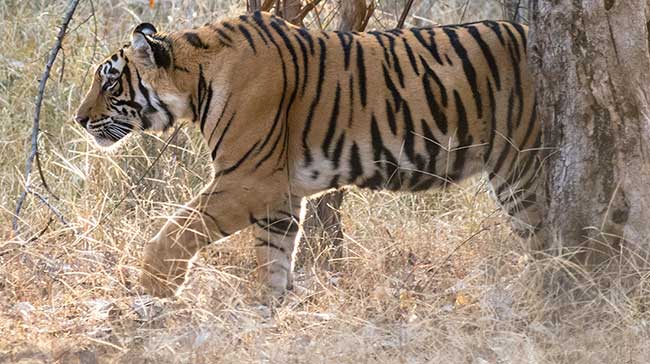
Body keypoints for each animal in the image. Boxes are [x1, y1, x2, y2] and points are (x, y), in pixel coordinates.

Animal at [73, 11, 544, 298]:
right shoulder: (279, 192)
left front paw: (153, 290)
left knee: (546, 240)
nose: (78, 119)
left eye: (110, 83)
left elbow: (175, 231)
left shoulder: (247, 180)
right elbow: (274, 257)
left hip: (521, 169)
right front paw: (267, 311)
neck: (197, 80)